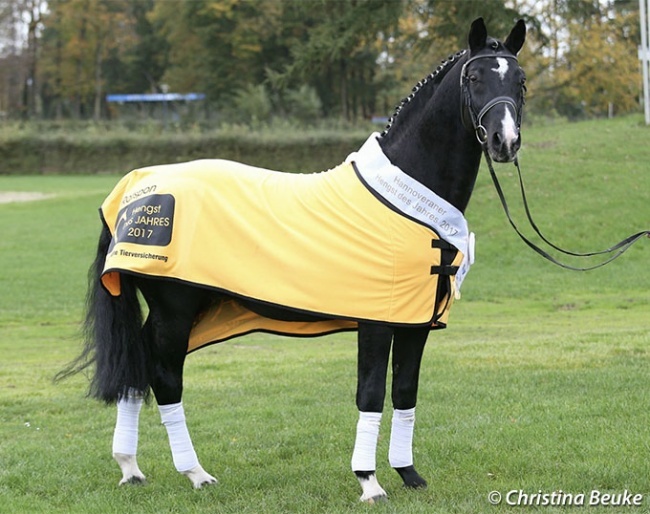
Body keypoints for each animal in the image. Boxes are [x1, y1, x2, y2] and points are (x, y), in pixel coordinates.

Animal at [60, 17, 526, 503]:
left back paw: (130, 467)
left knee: (138, 365)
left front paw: (408, 474)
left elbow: (405, 391)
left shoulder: (416, 322)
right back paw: (195, 473)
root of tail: (136, 185)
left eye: (521, 81)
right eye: (475, 78)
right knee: (165, 375)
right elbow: (370, 393)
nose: (505, 141)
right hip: (176, 309)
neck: (405, 201)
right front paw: (369, 481)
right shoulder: (376, 322)